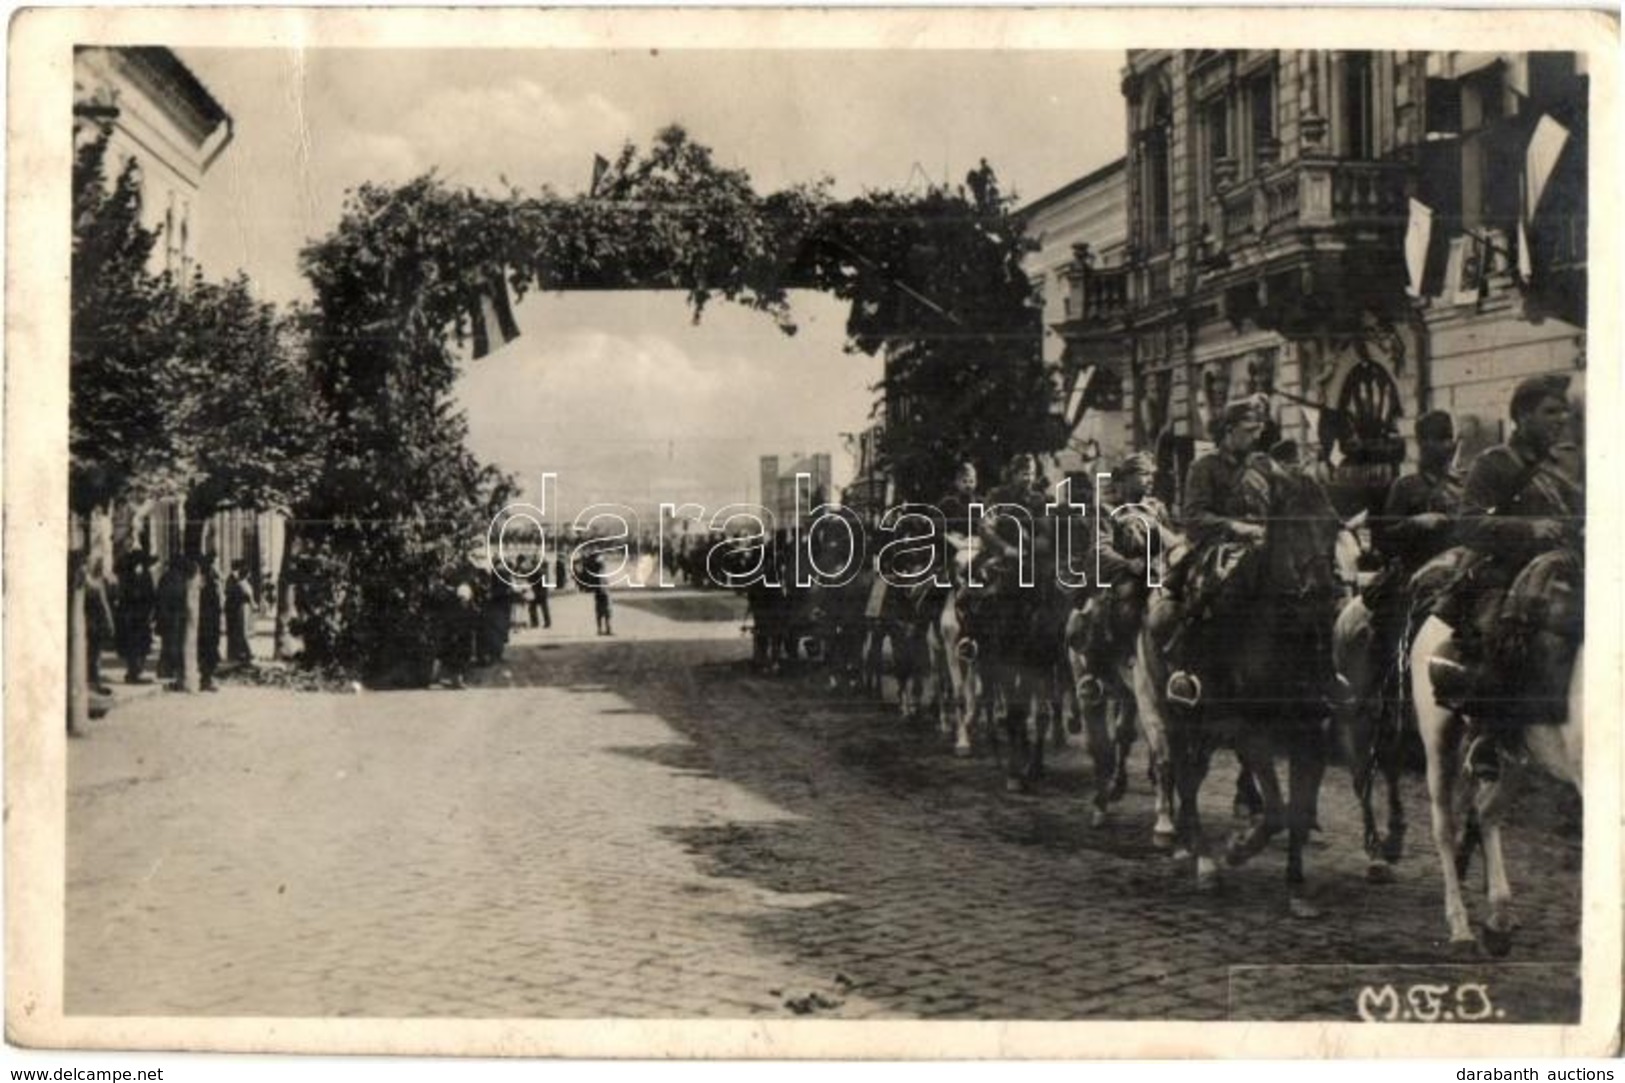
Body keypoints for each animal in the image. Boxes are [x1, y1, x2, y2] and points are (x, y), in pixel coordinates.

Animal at [1137, 455, 1339, 910]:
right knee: (1181, 774)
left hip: (1206, 727)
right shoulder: (1250, 734)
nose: (1323, 591)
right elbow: (1277, 812)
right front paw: (1238, 848)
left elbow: (1298, 814)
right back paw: (1202, 861)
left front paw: (1296, 886)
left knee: (1193, 775)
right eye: (1292, 524)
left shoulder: (1311, 737)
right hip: (1171, 710)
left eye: (1333, 526)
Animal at [1404, 549, 1579, 956]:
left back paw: (1499, 918)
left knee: (1485, 814)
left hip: (1512, 756)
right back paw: (1461, 926)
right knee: (1444, 827)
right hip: (1439, 740)